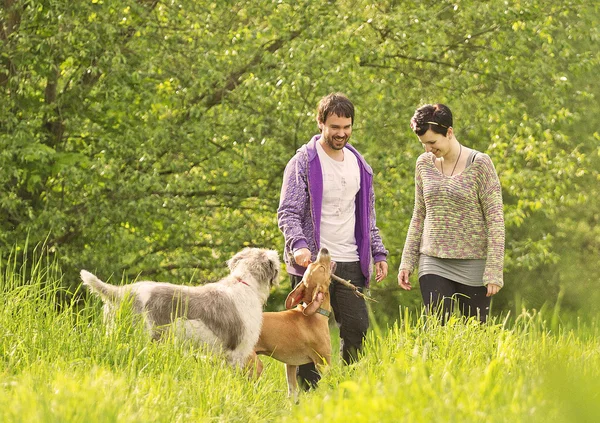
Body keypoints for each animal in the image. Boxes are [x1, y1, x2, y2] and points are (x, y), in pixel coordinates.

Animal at [247, 247, 332, 400]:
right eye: (322, 268)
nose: (324, 249)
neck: (314, 312)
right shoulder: (323, 363)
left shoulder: (290, 364)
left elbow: (292, 392)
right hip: (255, 366)